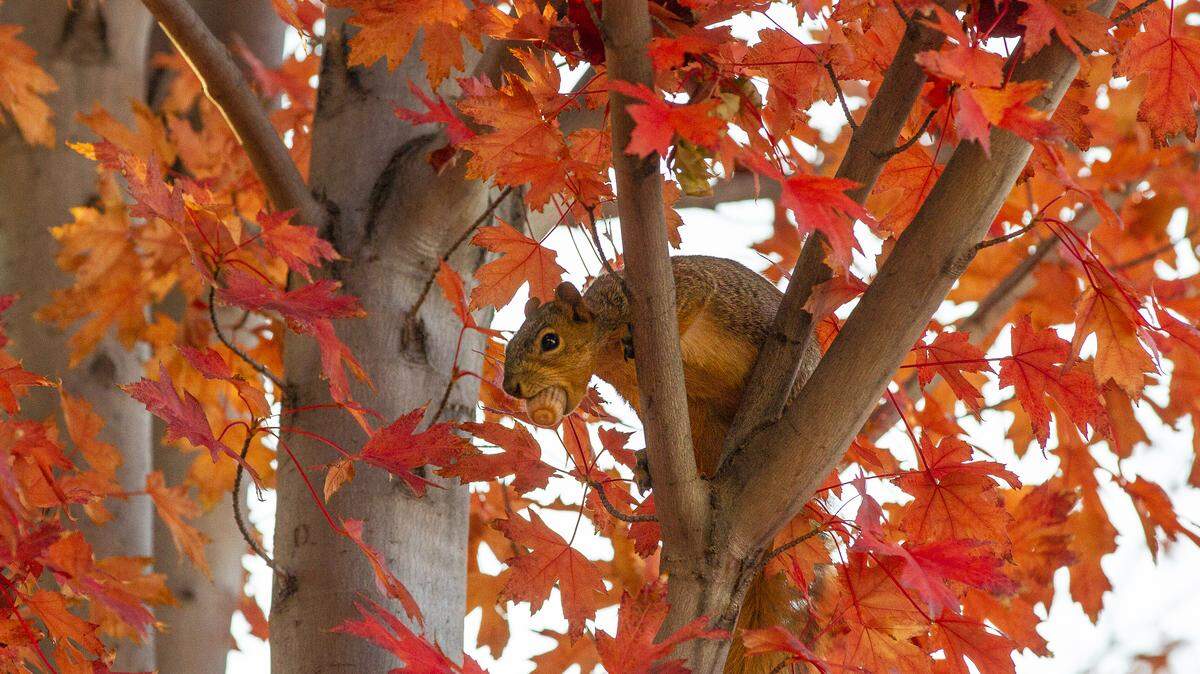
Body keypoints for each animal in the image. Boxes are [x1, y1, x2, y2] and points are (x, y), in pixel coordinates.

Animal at [503, 255, 821, 674]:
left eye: (549, 341)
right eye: (508, 345)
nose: (509, 387)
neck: (606, 352)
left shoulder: (671, 290)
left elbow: (694, 295)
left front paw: (637, 341)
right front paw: (645, 460)